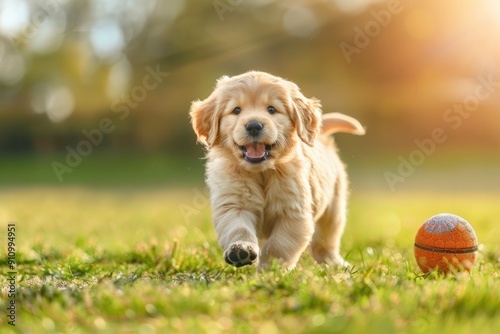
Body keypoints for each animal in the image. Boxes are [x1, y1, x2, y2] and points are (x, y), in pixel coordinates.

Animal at [189, 72, 366, 270]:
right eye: (236, 110)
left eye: (272, 109)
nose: (254, 125)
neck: (262, 172)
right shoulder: (234, 204)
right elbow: (239, 228)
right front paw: (241, 250)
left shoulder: (293, 213)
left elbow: (278, 245)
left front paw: (270, 269)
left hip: (333, 208)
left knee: (326, 239)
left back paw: (335, 263)